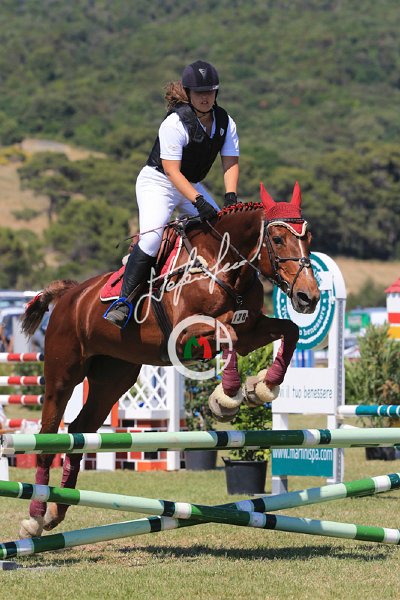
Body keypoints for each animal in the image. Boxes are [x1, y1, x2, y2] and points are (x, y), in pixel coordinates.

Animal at [19, 181, 319, 537]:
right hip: (63, 374)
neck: (222, 266)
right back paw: (35, 517)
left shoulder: (251, 330)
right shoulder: (188, 334)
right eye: (277, 239)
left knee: (79, 430)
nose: (309, 297)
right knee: (49, 435)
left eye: (308, 238)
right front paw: (227, 398)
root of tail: (71, 294)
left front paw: (261, 386)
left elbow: (289, 331)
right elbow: (228, 336)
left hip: (113, 378)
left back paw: (57, 510)